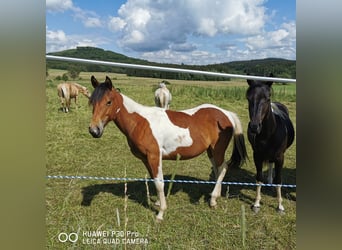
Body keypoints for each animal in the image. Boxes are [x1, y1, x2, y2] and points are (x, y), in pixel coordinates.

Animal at [88, 75, 247, 221]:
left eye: (108, 102)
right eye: (92, 102)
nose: (94, 130)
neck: (140, 122)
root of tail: (226, 114)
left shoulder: (154, 156)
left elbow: (159, 183)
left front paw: (160, 213)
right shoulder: (146, 159)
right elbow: (155, 181)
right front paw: (158, 203)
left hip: (217, 150)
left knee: (223, 168)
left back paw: (213, 200)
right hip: (210, 151)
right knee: (217, 169)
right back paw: (214, 196)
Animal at [246, 77, 294, 213]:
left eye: (267, 98)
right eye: (248, 98)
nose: (254, 127)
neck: (269, 134)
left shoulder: (280, 158)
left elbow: (279, 180)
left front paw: (280, 206)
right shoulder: (257, 156)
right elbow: (258, 178)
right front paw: (256, 204)